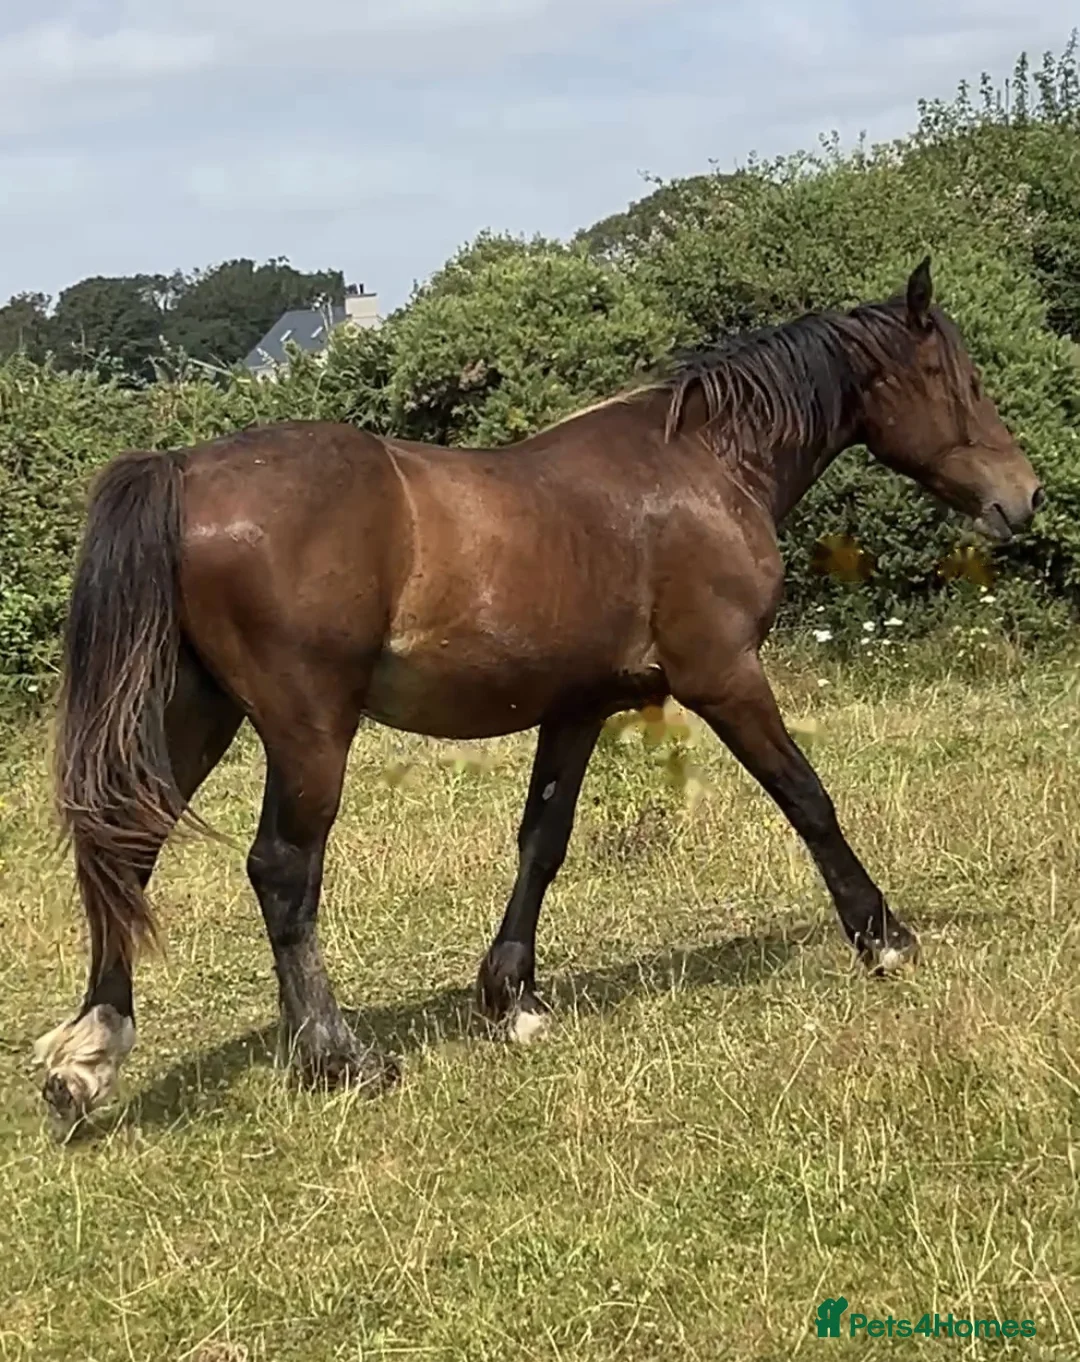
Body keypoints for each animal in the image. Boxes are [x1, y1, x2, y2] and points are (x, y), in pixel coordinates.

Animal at [34, 259, 1043, 1131]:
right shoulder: (723, 677)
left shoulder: (579, 706)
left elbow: (542, 843)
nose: (1023, 496)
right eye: (961, 378)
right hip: (306, 727)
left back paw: (89, 1060)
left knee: (127, 847)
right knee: (281, 870)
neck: (703, 470)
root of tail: (184, 470)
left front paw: (511, 996)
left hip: (198, 712)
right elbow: (808, 799)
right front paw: (885, 938)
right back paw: (336, 1054)